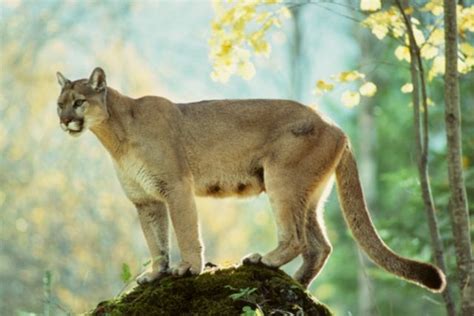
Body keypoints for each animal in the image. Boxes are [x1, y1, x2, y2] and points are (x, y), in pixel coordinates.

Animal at [54, 68, 444, 292]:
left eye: (79, 102)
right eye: (60, 103)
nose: (63, 120)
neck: (116, 135)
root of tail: (335, 125)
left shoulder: (176, 188)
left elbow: (185, 232)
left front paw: (188, 269)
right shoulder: (145, 200)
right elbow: (156, 242)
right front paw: (155, 274)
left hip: (282, 179)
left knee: (297, 238)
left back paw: (264, 261)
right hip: (309, 194)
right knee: (320, 245)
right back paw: (298, 285)